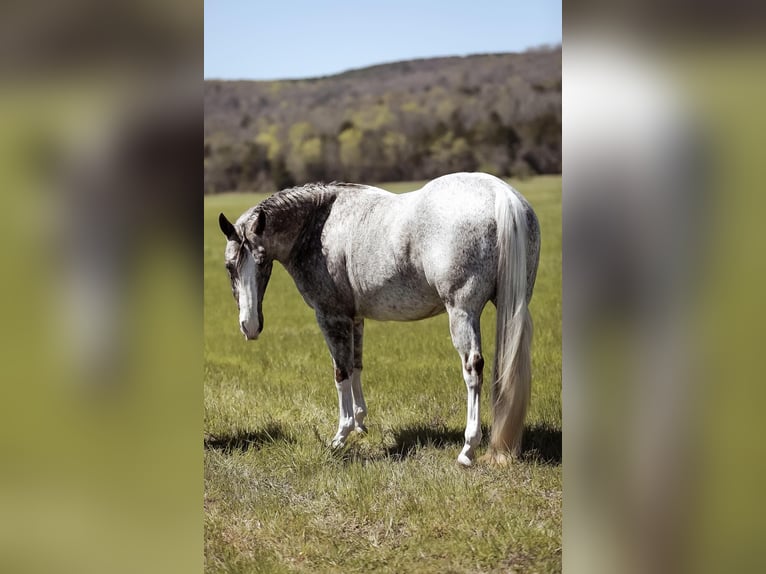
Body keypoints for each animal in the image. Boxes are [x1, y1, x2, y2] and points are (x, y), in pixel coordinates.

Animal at [219, 172, 544, 468]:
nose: (250, 326)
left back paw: (468, 449)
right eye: (229, 266)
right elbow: (356, 366)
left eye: (261, 262)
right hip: (513, 306)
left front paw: (341, 436)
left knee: (473, 370)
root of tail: (500, 193)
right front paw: (360, 425)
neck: (319, 222)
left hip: (462, 313)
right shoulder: (355, 318)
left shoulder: (331, 316)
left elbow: (340, 372)